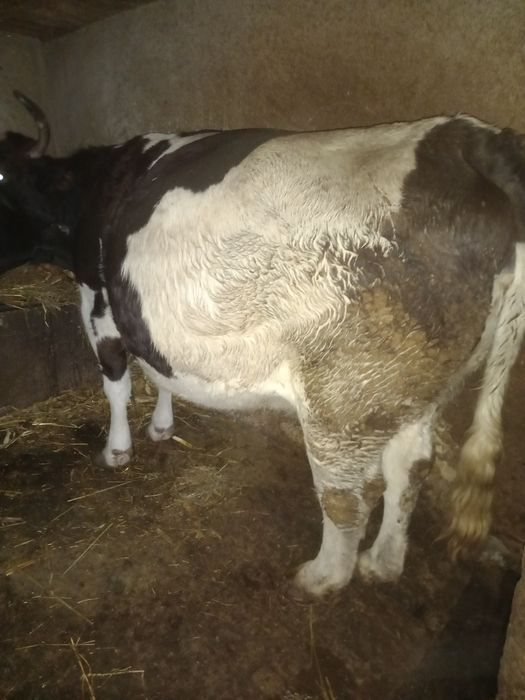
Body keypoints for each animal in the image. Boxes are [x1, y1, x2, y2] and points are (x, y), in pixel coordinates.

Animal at [1, 91, 524, 596]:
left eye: (3, 175)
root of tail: (476, 140)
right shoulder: (148, 314)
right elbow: (160, 373)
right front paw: (162, 426)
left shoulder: (97, 297)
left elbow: (116, 382)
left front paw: (117, 451)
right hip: (416, 389)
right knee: (410, 467)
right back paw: (382, 562)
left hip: (342, 400)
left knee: (349, 496)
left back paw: (319, 578)